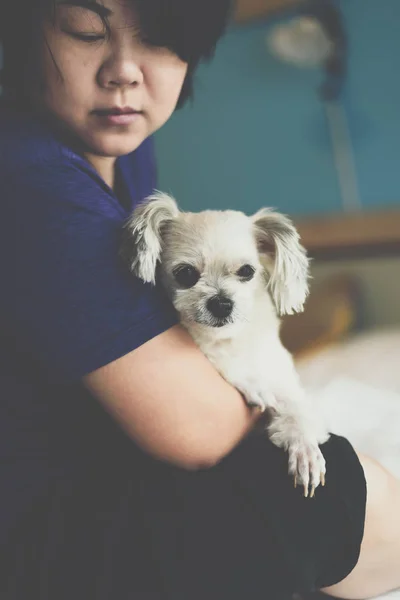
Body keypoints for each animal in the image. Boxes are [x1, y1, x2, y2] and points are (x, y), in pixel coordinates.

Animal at [121, 193, 328, 496]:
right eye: (185, 273)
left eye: (247, 271)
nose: (221, 303)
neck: (232, 339)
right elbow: (220, 360)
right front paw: (254, 383)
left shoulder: (283, 378)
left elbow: (295, 411)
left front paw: (305, 451)